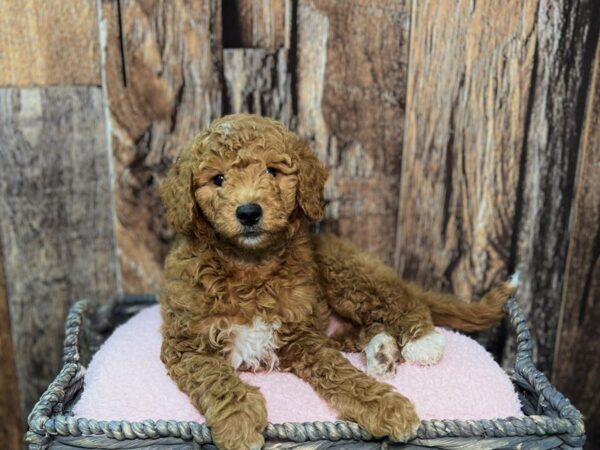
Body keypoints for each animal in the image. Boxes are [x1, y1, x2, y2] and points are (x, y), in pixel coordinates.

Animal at [159, 113, 520, 450]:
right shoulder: (186, 344)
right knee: (364, 328)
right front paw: (238, 421)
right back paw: (382, 351)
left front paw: (386, 406)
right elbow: (216, 378)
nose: (248, 212)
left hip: (344, 272)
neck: (249, 264)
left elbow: (343, 375)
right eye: (218, 179)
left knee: (399, 300)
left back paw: (422, 341)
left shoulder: (303, 336)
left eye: (272, 171)